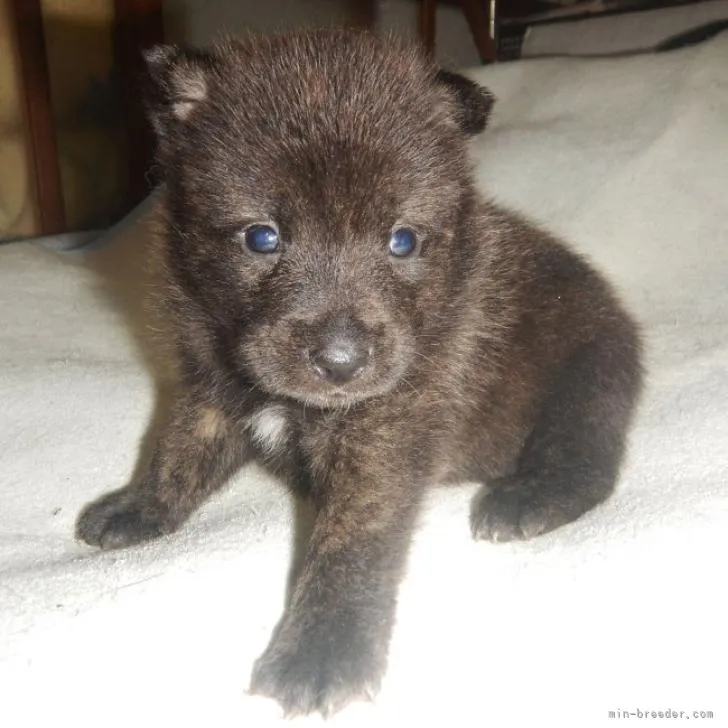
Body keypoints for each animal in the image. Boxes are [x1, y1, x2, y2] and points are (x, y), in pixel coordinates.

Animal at [77, 29, 640, 716]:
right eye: (262, 237)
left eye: (403, 241)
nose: (342, 363)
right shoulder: (211, 382)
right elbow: (179, 450)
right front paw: (137, 507)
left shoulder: (386, 429)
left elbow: (354, 539)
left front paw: (323, 649)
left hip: (590, 377)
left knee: (588, 458)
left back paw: (526, 499)